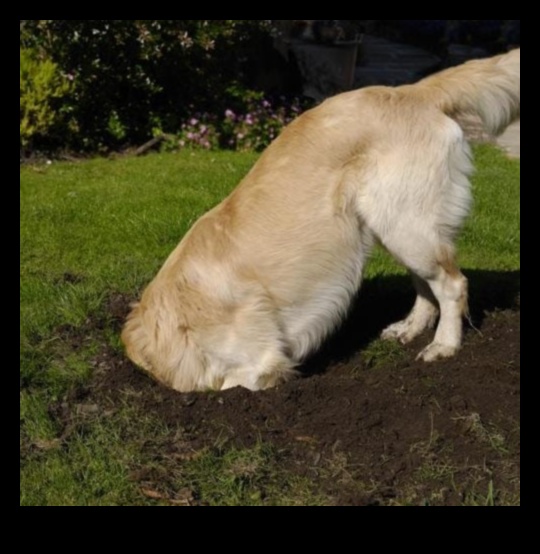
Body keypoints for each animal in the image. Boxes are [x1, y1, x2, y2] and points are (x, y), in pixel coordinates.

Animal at [122, 49, 520, 390]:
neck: (176, 315)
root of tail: (410, 91)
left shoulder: (261, 362)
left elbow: (239, 381)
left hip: (406, 225)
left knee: (453, 284)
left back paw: (444, 345)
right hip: (398, 225)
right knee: (426, 284)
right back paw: (410, 328)